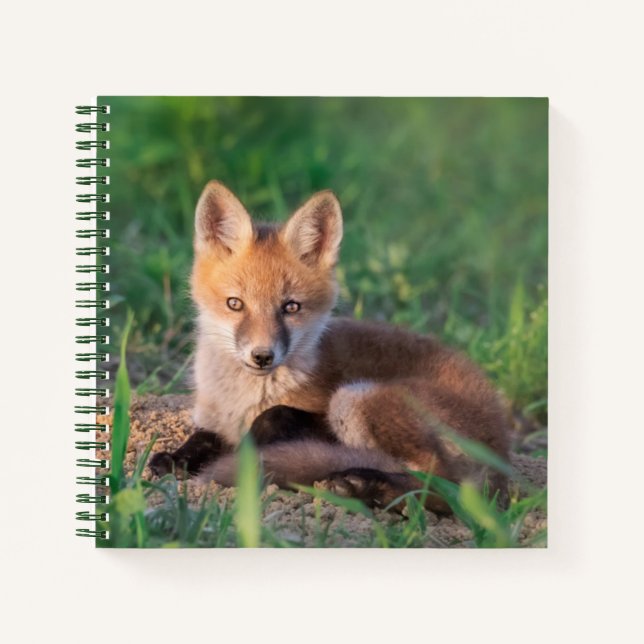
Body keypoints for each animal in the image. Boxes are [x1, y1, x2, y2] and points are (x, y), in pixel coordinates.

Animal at [149, 180, 511, 511]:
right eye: (234, 304)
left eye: (291, 307)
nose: (262, 356)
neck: (241, 400)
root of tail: (503, 452)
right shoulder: (212, 420)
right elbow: (201, 438)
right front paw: (177, 459)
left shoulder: (315, 414)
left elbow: (273, 416)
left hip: (355, 397)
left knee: (445, 489)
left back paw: (368, 485)